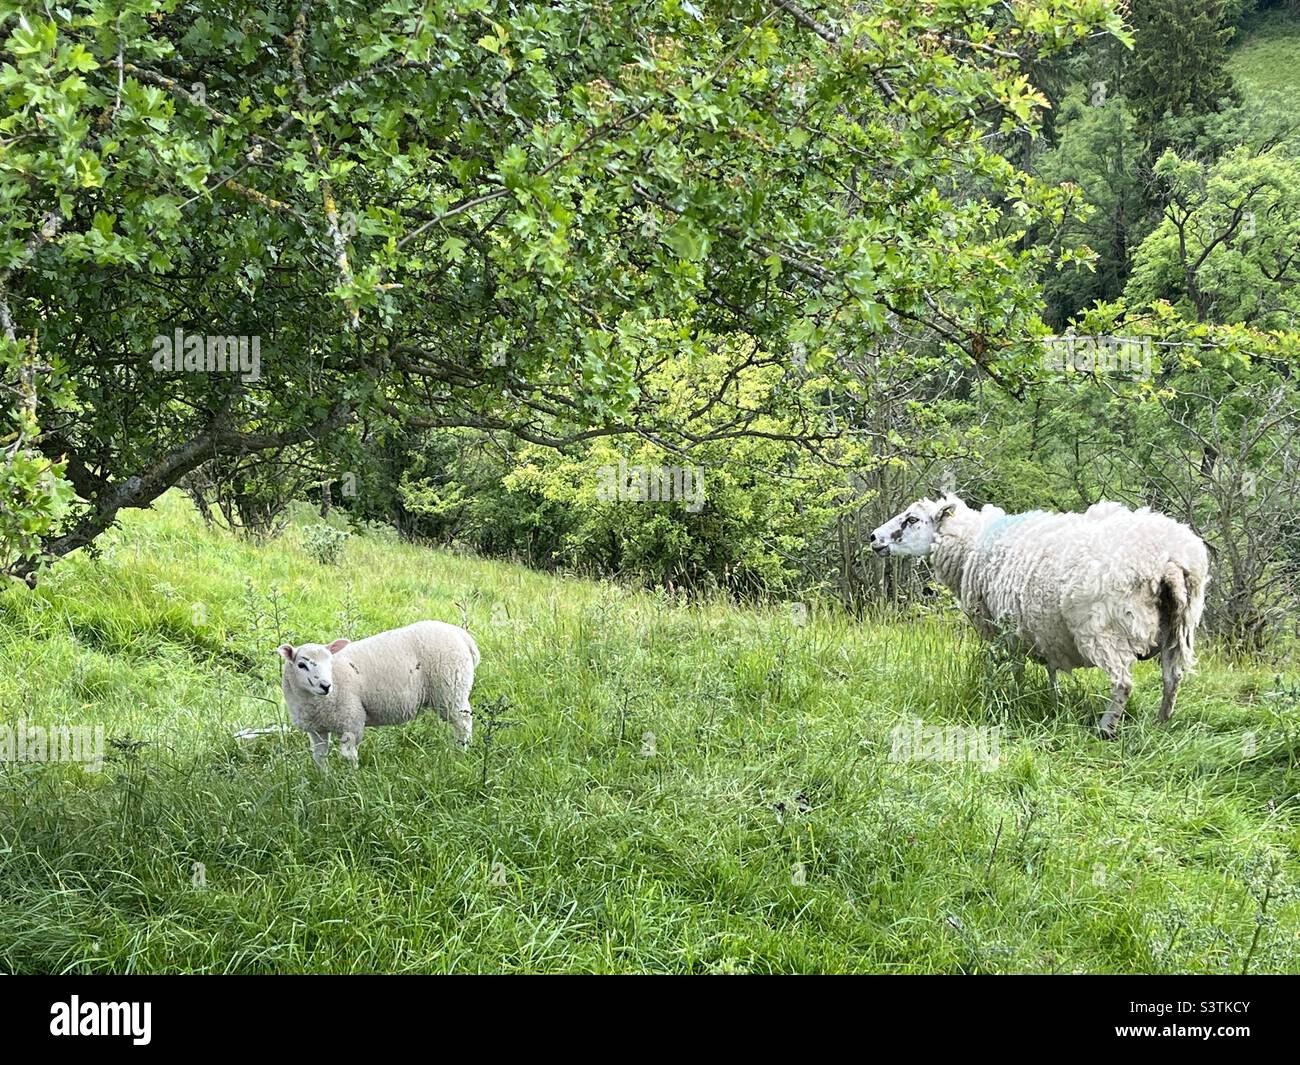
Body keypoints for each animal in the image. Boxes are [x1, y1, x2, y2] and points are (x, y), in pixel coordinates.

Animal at [277, 620, 479, 767]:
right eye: (301, 665)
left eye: (330, 662)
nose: (326, 686)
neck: (313, 701)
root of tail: (463, 636)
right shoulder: (316, 729)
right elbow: (319, 757)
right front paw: (325, 782)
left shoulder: (352, 719)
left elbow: (348, 755)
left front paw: (352, 782)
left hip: (451, 688)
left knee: (463, 723)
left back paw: (460, 753)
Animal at [871, 493, 1209, 738]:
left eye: (912, 519)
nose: (873, 537)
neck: (973, 545)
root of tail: (1168, 560)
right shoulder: (1043, 630)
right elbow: (1051, 670)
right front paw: (1053, 699)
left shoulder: (1010, 628)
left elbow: (1017, 670)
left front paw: (1015, 698)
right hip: (1179, 626)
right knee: (1172, 677)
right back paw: (1161, 722)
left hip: (1103, 629)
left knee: (1123, 683)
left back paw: (1105, 729)